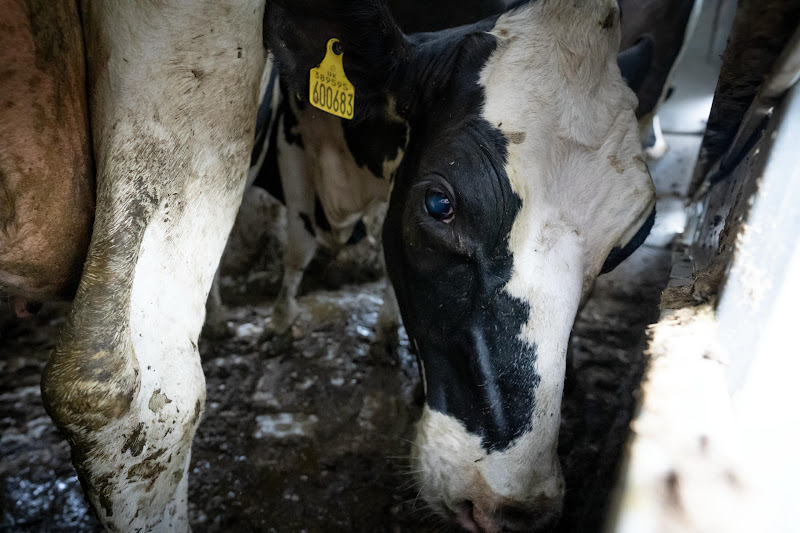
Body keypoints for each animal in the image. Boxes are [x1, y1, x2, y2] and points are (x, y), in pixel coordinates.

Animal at [266, 0, 656, 531]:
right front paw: (281, 324)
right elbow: (297, 246)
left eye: (629, 242)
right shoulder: (294, 139)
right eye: (438, 204)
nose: (505, 508)